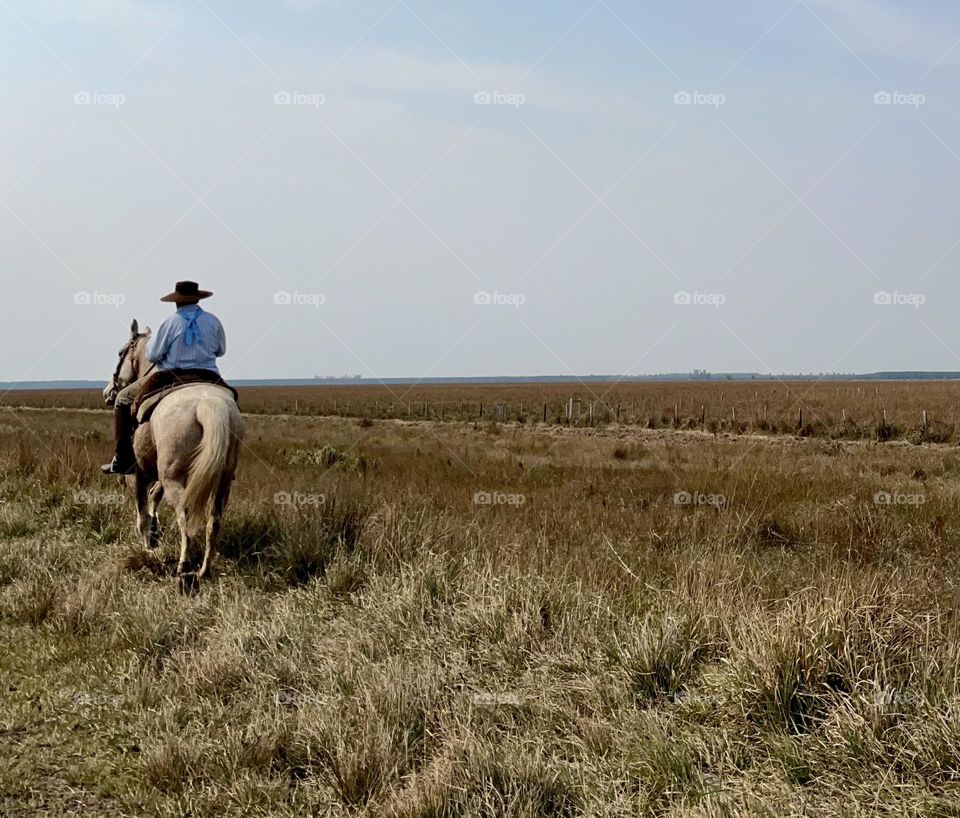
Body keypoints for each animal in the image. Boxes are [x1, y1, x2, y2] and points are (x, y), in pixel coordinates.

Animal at [104, 319, 244, 590]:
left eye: (120, 352)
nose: (107, 392)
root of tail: (207, 403)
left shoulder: (137, 474)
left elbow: (142, 515)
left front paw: (148, 548)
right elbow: (153, 499)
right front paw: (155, 536)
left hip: (174, 478)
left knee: (185, 518)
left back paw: (183, 567)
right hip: (222, 481)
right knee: (214, 521)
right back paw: (204, 570)